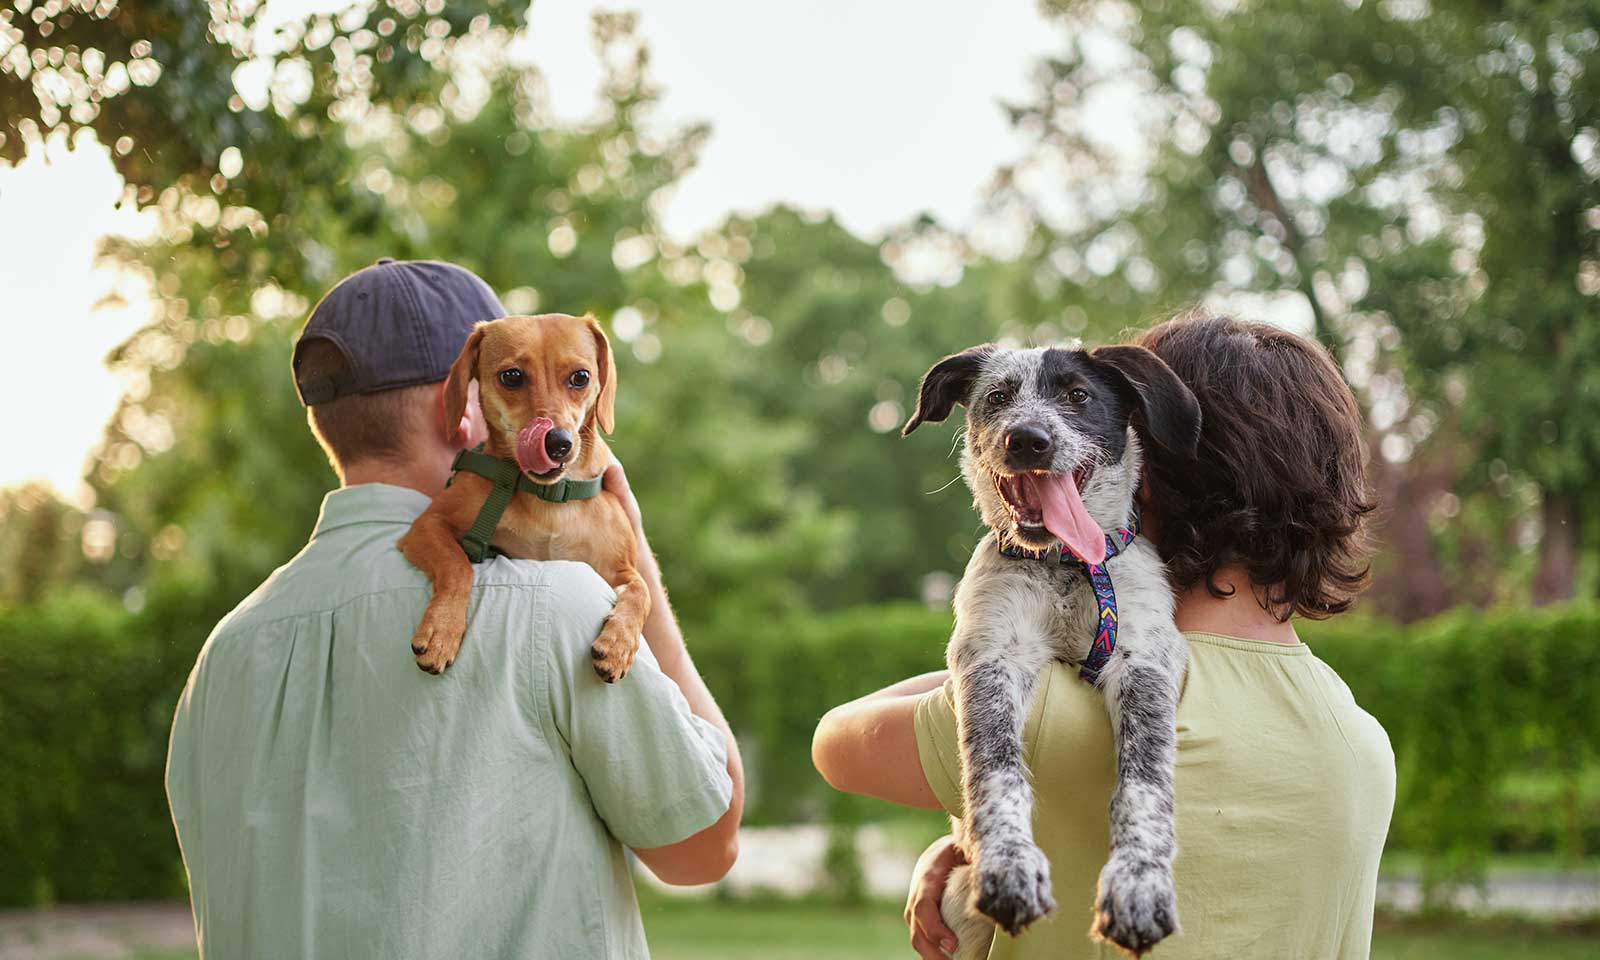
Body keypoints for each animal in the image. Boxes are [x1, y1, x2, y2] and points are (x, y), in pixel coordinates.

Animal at [398, 312, 643, 678]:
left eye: (581, 377)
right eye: (511, 376)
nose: (557, 443)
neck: (549, 497)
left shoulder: (621, 568)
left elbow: (642, 593)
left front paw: (619, 644)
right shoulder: (428, 525)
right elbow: (457, 565)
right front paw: (442, 630)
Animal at [908, 340, 1196, 953]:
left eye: (1079, 395)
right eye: (998, 396)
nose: (1028, 439)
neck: (1064, 566)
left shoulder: (1143, 660)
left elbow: (1145, 783)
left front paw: (1139, 887)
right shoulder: (991, 657)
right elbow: (996, 769)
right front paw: (1010, 867)